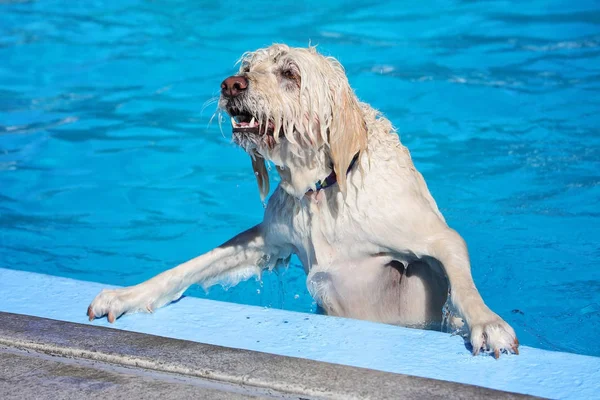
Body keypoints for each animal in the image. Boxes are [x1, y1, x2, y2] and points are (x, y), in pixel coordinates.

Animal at [88, 44, 520, 360]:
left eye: (290, 73)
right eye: (247, 66)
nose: (231, 85)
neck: (322, 188)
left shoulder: (434, 238)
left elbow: (460, 280)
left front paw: (487, 323)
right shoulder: (268, 240)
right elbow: (188, 267)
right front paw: (128, 295)